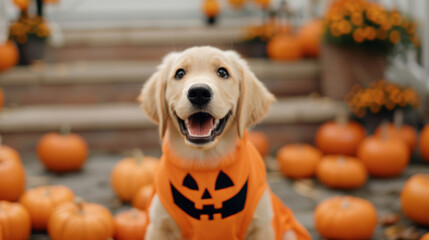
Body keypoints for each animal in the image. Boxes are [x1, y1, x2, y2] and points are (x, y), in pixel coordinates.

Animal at [139, 46, 310, 239]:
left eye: (223, 72)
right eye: (180, 73)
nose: (199, 93)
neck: (206, 161)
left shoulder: (262, 226)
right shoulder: (159, 227)